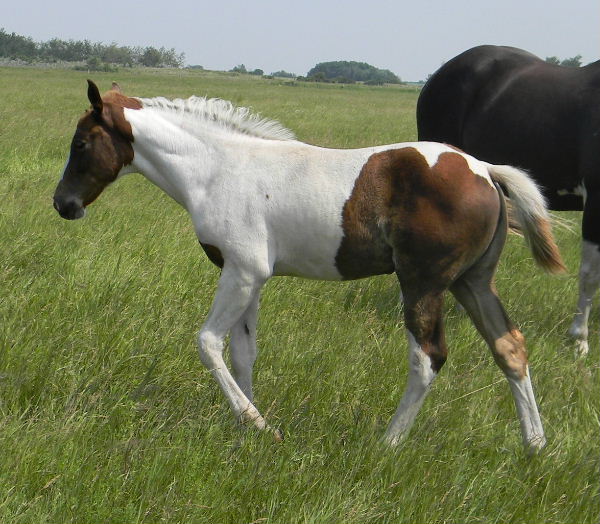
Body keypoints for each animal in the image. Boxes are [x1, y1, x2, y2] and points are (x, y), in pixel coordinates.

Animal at [53, 80, 565, 453]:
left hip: (424, 283)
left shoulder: (241, 272)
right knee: (509, 346)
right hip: (471, 283)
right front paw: (246, 426)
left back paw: (388, 443)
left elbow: (208, 342)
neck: (217, 169)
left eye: (81, 143)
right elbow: (243, 352)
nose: (63, 204)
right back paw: (535, 446)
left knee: (428, 357)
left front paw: (258, 425)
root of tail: (485, 171)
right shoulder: (252, 278)